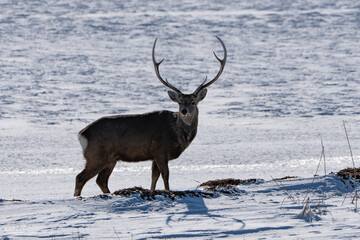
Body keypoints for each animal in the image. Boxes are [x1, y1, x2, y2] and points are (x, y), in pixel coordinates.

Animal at [74, 36, 226, 197]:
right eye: (179, 102)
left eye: (193, 102)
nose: (184, 111)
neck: (178, 134)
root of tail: (82, 134)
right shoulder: (160, 150)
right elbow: (165, 176)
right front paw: (169, 193)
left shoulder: (153, 155)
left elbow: (154, 177)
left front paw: (152, 192)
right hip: (96, 155)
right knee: (80, 177)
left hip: (111, 158)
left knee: (101, 180)